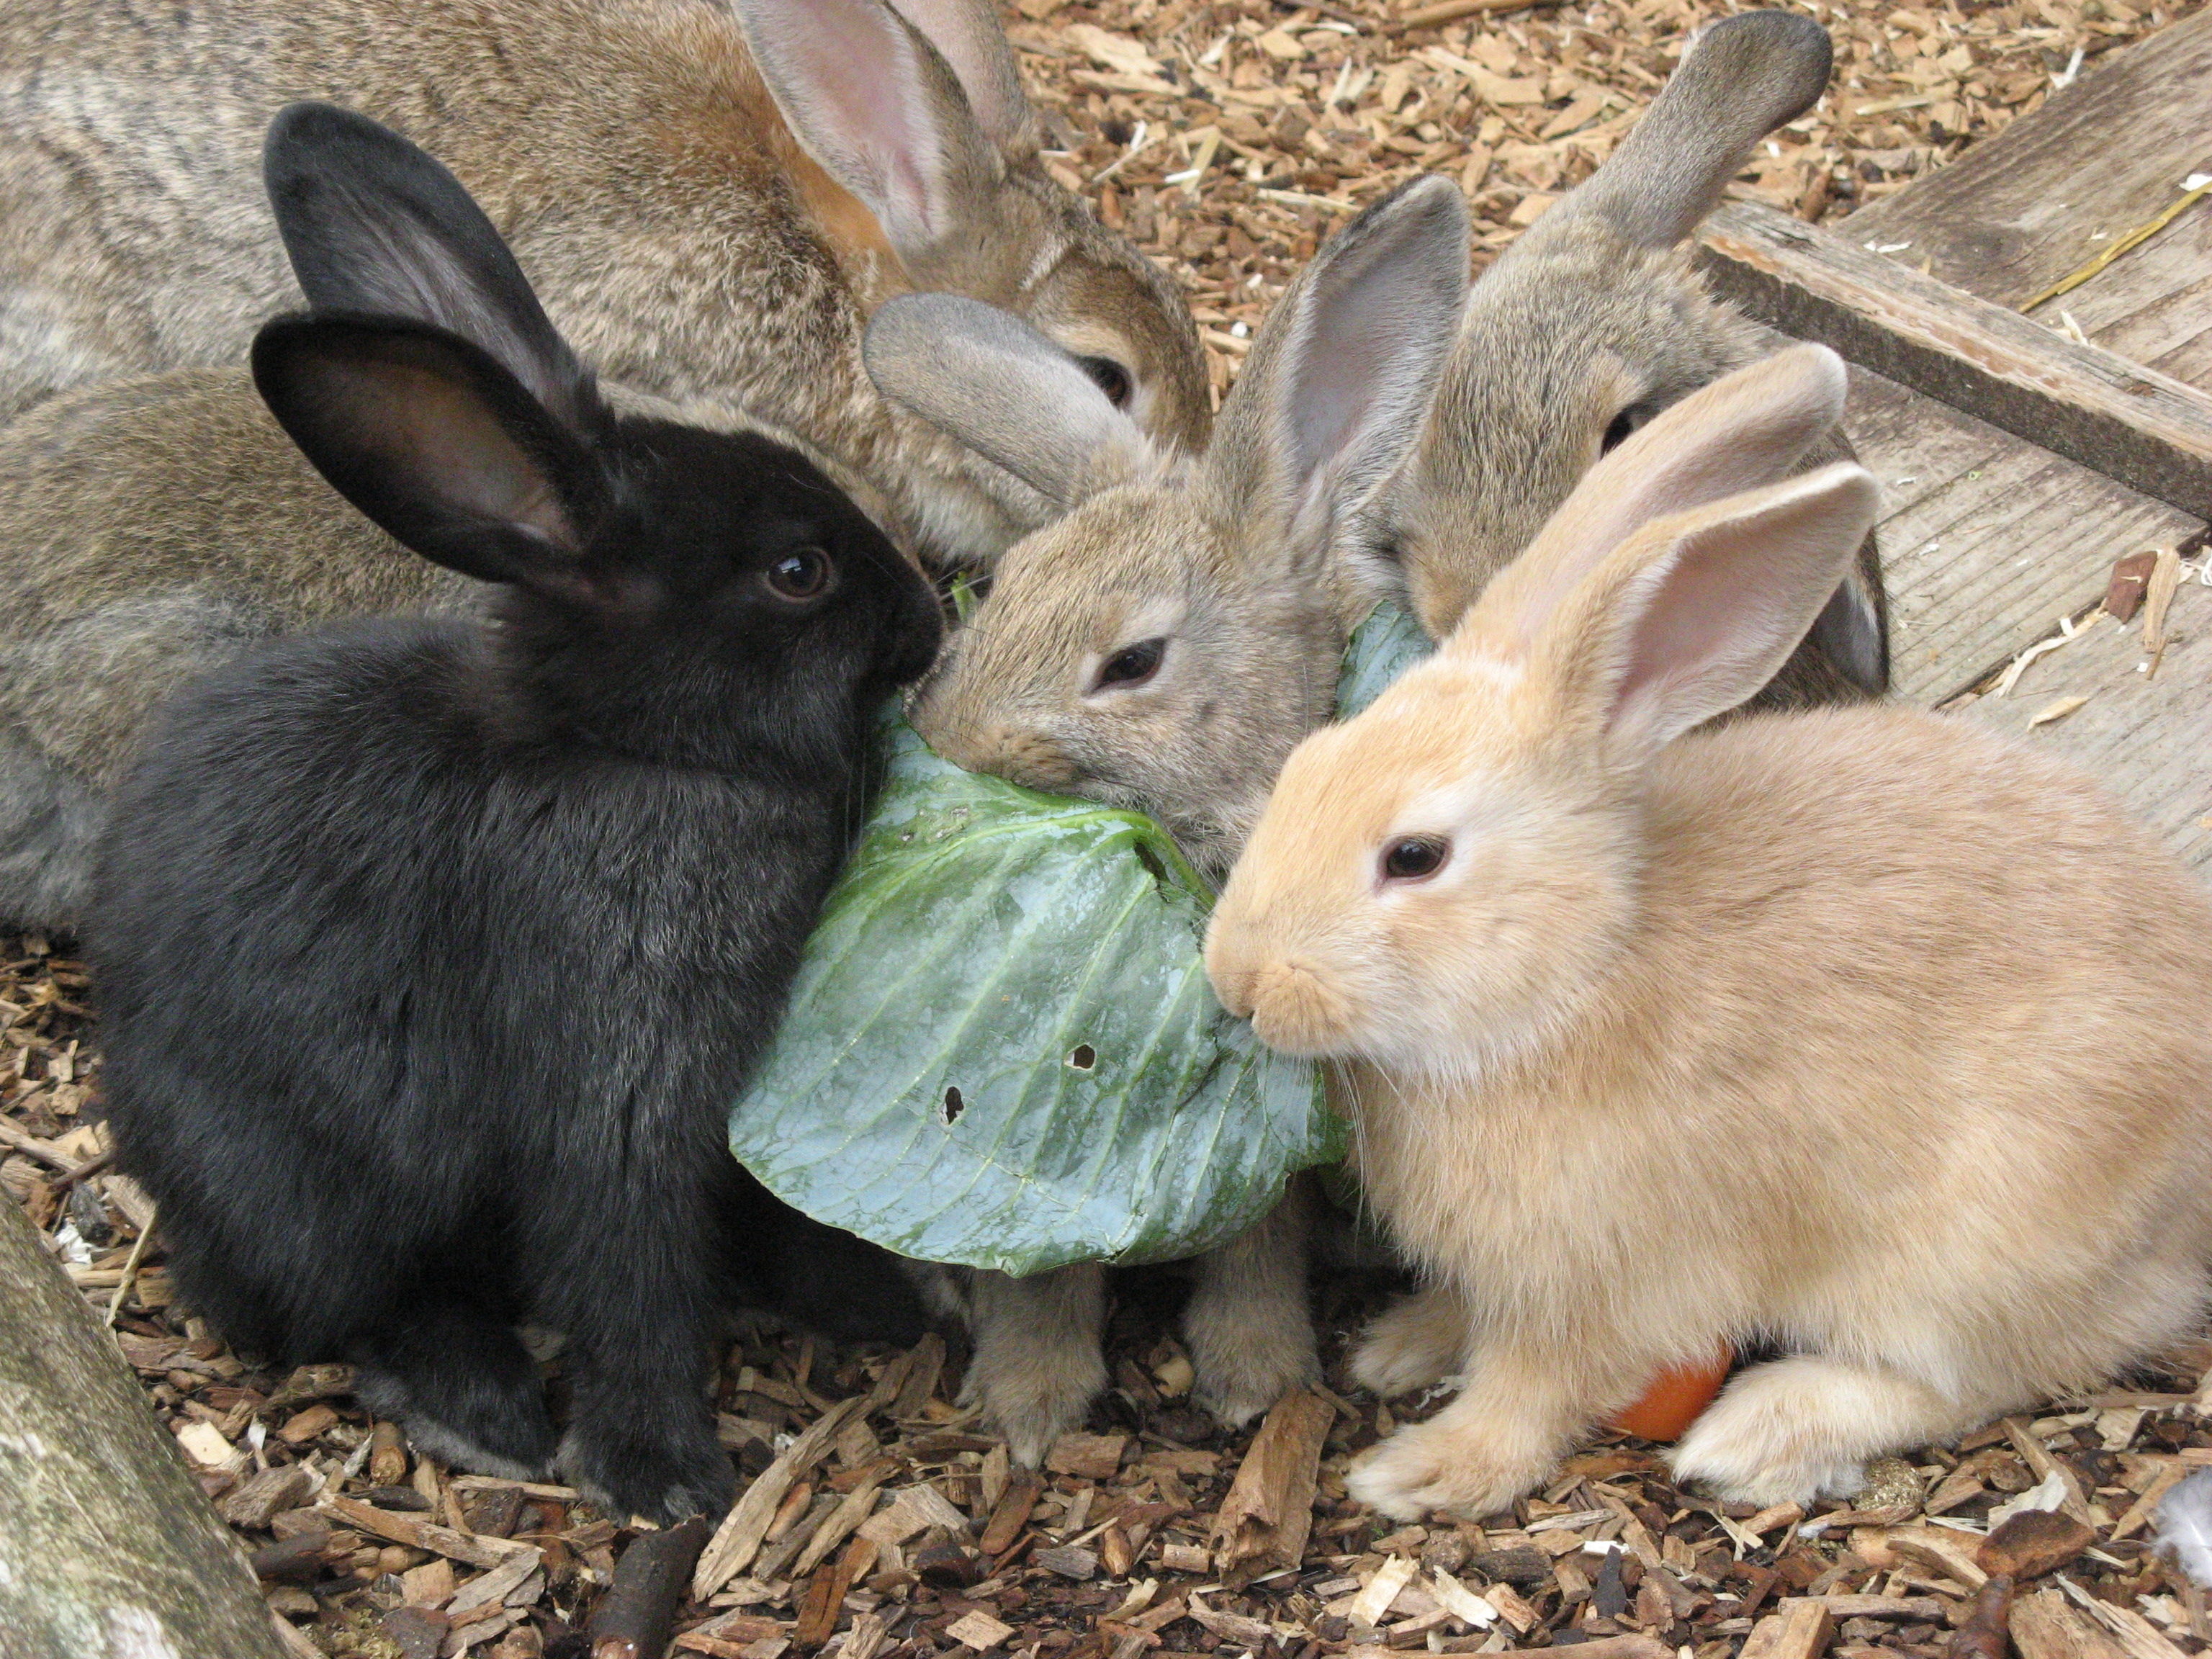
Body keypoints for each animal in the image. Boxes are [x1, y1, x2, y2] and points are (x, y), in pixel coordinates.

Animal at [88, 104, 942, 1530]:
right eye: (798, 571)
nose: (929, 626)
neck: (627, 750)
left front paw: (872, 1296)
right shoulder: (617, 1093)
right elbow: (625, 1272)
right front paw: (668, 1476)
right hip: (318, 1189)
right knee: (351, 1306)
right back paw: (481, 1405)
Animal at [1203, 347, 2212, 1521]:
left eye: (1414, 857)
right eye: (1303, 766)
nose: (1235, 980)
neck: (1578, 968)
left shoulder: (1601, 1285)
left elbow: (1534, 1392)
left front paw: (1423, 1471)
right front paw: (1402, 1346)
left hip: (1973, 1258)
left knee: (1982, 1375)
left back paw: (1758, 1432)